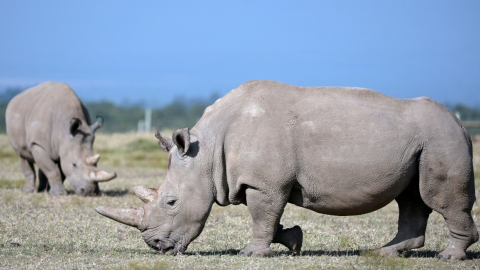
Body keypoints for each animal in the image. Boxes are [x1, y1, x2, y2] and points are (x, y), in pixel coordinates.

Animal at [94, 80, 476, 260]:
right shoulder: (262, 182)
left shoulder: (264, 183)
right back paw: (383, 253)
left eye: (171, 202)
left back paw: (449, 256)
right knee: (410, 199)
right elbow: (268, 217)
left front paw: (251, 254)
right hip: (422, 143)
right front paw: (293, 241)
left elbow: (261, 216)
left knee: (437, 198)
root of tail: (460, 122)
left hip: (441, 138)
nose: (157, 246)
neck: (207, 151)